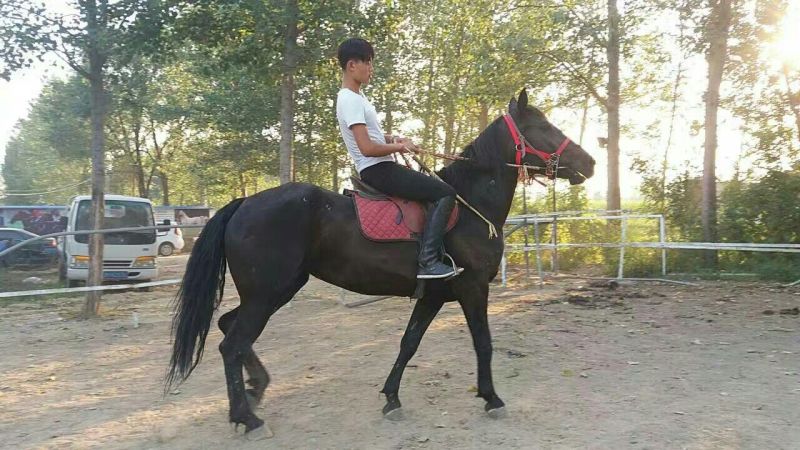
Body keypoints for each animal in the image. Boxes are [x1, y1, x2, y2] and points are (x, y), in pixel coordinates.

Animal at [166, 89, 596, 438]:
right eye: (542, 126)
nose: (590, 163)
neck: (471, 206)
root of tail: (244, 203)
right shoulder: (474, 287)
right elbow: (483, 343)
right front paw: (492, 398)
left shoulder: (434, 295)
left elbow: (409, 343)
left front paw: (391, 397)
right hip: (267, 294)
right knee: (233, 344)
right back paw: (248, 418)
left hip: (271, 292)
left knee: (228, 329)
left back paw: (256, 390)